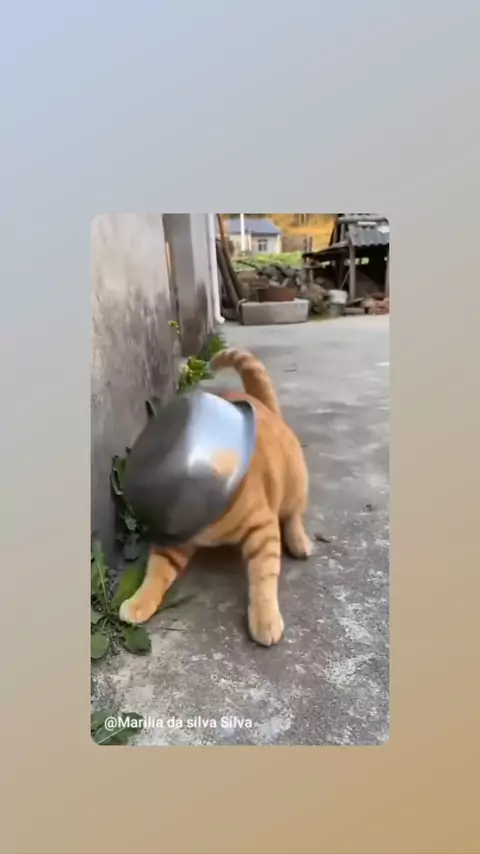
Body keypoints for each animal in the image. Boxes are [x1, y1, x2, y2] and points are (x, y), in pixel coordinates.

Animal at [119, 348, 313, 646]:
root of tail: (265, 406)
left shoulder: (262, 528)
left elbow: (263, 576)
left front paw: (265, 618)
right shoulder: (171, 541)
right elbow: (155, 573)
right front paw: (140, 601)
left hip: (294, 481)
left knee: (293, 514)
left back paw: (299, 541)